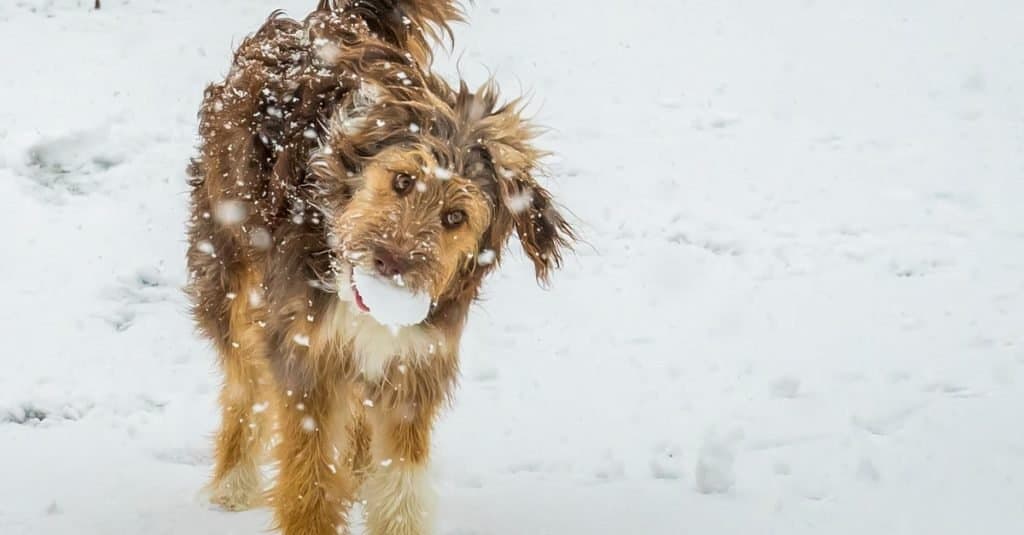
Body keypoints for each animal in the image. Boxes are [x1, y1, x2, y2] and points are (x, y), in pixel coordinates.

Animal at [180, 2, 573, 528]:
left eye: (455, 217)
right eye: (403, 181)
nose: (391, 262)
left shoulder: (413, 364)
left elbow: (400, 487)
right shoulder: (305, 356)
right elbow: (309, 478)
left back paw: (357, 471)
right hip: (228, 269)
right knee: (245, 382)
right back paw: (233, 483)